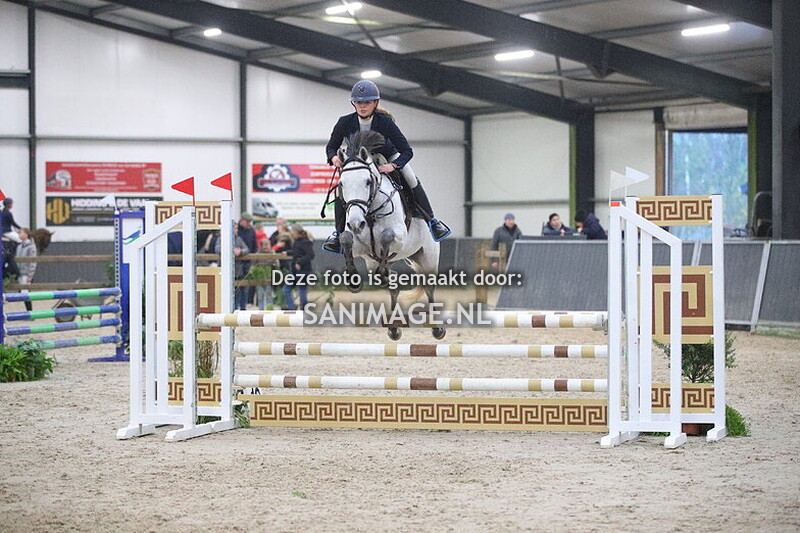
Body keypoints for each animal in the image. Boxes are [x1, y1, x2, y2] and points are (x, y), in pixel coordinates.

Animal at [335, 131, 445, 341]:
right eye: (342, 184)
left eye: (368, 182)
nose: (356, 223)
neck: (369, 213)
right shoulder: (360, 246)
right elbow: (346, 238)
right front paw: (353, 281)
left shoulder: (400, 238)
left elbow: (387, 236)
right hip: (373, 263)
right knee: (393, 286)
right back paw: (393, 326)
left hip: (428, 257)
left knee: (429, 287)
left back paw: (437, 328)